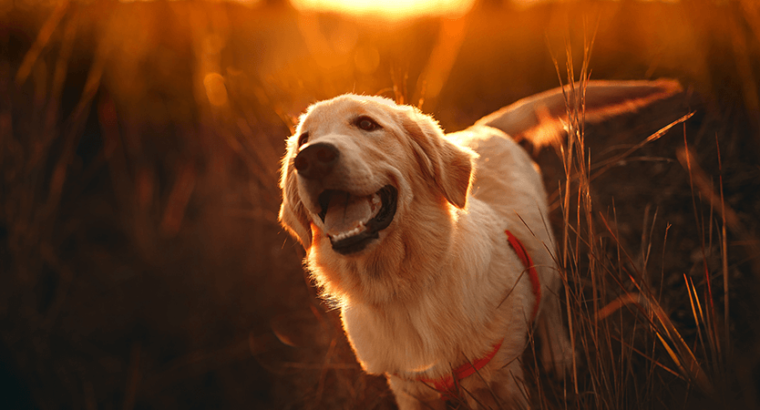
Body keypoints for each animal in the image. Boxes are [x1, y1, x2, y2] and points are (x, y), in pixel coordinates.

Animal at [280, 80, 684, 410]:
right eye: (303, 138)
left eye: (366, 124)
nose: (310, 157)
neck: (404, 291)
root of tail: (480, 128)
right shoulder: (408, 390)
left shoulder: (500, 383)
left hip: (545, 251)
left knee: (550, 302)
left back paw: (560, 356)